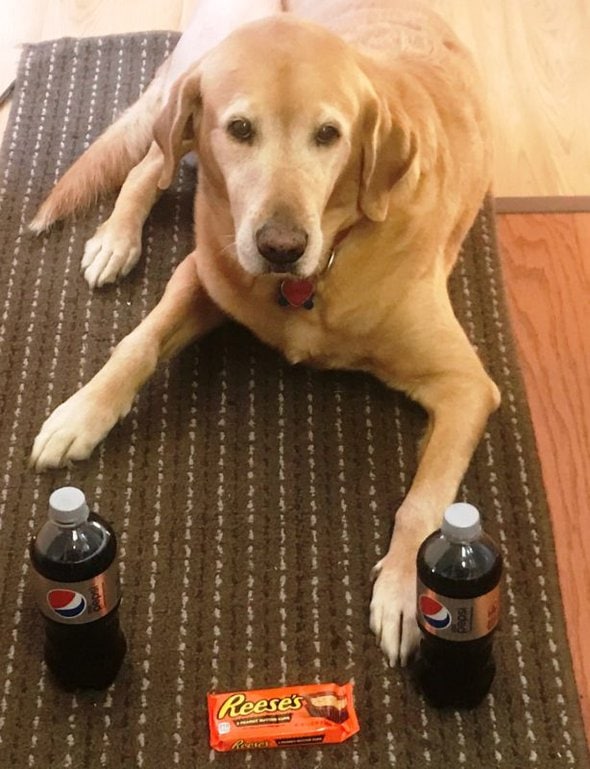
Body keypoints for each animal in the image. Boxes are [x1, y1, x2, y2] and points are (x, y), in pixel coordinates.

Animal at [27, 0, 500, 664]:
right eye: (240, 129)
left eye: (329, 135)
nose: (281, 247)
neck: (322, 269)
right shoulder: (200, 271)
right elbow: (136, 344)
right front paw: (79, 413)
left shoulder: (467, 387)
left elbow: (426, 502)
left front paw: (408, 588)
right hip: (183, 101)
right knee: (152, 161)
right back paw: (116, 238)